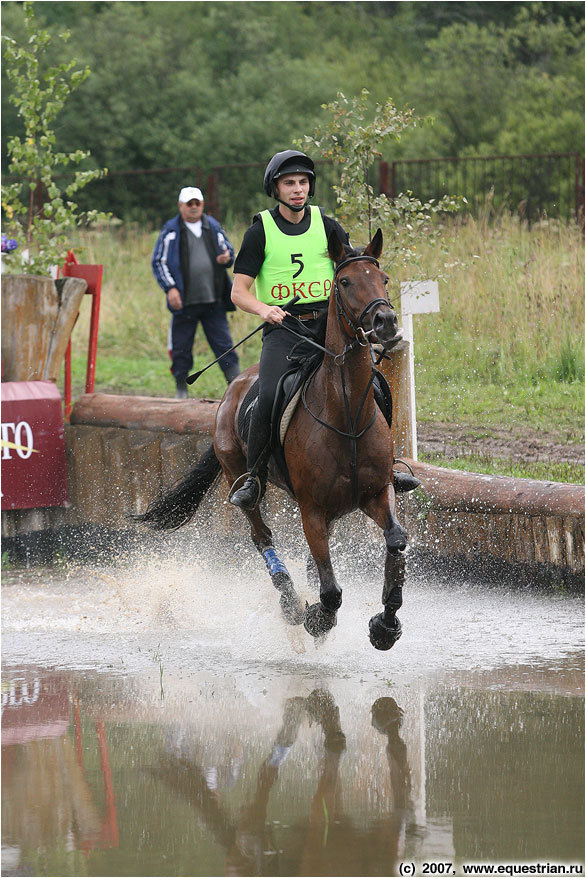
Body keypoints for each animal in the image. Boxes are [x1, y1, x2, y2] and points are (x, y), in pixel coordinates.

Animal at [139, 229, 408, 652]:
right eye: (346, 282)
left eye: (382, 279)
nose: (385, 322)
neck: (346, 415)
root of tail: (233, 388)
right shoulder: (312, 510)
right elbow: (331, 591)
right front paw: (316, 618)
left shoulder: (377, 493)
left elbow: (395, 540)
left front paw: (386, 624)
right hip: (241, 475)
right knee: (260, 533)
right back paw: (290, 602)